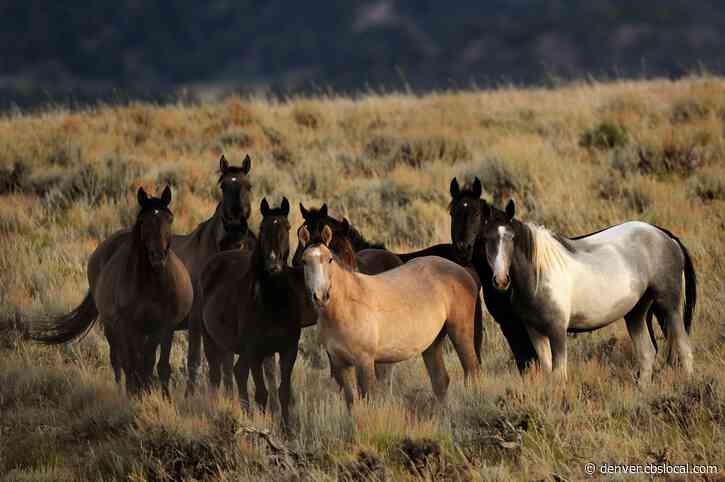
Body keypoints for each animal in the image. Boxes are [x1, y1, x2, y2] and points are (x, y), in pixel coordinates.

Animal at [32, 186, 194, 395]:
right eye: (143, 221)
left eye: (170, 219)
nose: (158, 256)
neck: (152, 284)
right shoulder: (127, 326)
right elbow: (132, 364)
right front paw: (135, 394)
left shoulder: (165, 327)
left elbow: (158, 365)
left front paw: (161, 396)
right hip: (111, 326)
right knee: (118, 361)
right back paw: (121, 390)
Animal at [200, 197, 313, 428]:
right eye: (262, 228)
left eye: (287, 227)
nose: (273, 265)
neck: (274, 303)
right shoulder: (255, 351)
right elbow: (261, 393)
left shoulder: (288, 350)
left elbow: (283, 391)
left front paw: (287, 429)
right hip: (212, 341)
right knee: (217, 376)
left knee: (237, 373)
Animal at [299, 224, 481, 409]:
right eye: (304, 261)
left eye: (330, 259)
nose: (321, 296)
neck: (345, 307)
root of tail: (464, 271)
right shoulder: (340, 364)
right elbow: (350, 402)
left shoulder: (364, 361)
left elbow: (368, 397)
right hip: (433, 343)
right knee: (440, 381)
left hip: (460, 333)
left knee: (472, 372)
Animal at [474, 198, 696, 383]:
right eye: (485, 239)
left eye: (511, 238)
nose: (501, 280)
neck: (538, 274)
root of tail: (666, 237)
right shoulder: (535, 332)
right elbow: (547, 372)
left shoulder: (557, 331)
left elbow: (559, 375)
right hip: (636, 312)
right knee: (647, 353)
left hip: (669, 306)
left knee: (683, 349)